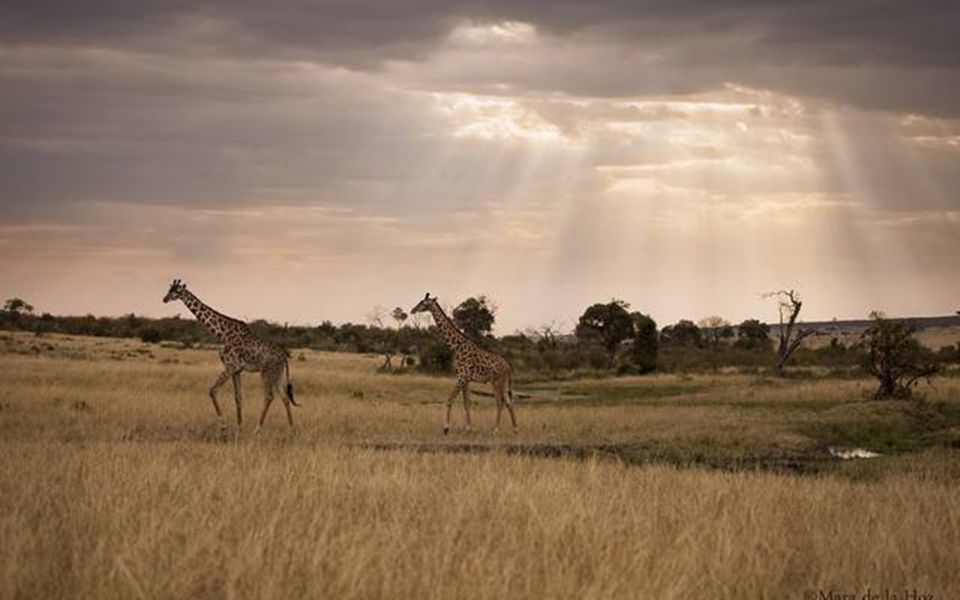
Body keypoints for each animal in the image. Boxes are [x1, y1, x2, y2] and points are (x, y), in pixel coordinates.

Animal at [161, 278, 298, 428]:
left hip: (267, 372)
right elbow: (238, 397)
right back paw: (291, 427)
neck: (222, 334)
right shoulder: (236, 370)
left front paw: (223, 424)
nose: (165, 299)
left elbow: (213, 391)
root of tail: (284, 357)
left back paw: (258, 428)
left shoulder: (230, 366)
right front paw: (239, 425)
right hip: (278, 374)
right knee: (285, 397)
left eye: (177, 290)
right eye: (169, 289)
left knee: (269, 396)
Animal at [412, 292, 516, 436]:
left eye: (423, 302)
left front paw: (446, 428)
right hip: (503, 382)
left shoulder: (462, 377)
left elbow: (449, 400)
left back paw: (496, 429)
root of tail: (508, 367)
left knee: (499, 402)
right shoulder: (465, 379)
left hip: (496, 382)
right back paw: (515, 429)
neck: (456, 346)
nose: (412, 310)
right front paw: (468, 428)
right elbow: (466, 403)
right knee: (509, 402)